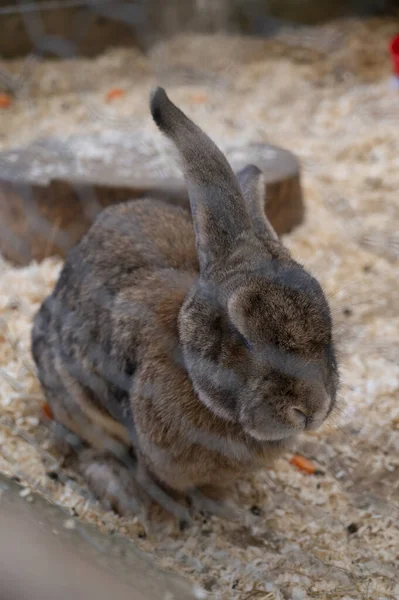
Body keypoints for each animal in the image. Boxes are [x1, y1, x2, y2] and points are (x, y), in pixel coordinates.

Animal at [29, 86, 340, 524]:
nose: (311, 408)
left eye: (327, 326)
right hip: (72, 398)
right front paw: (172, 515)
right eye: (244, 338)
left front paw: (230, 508)